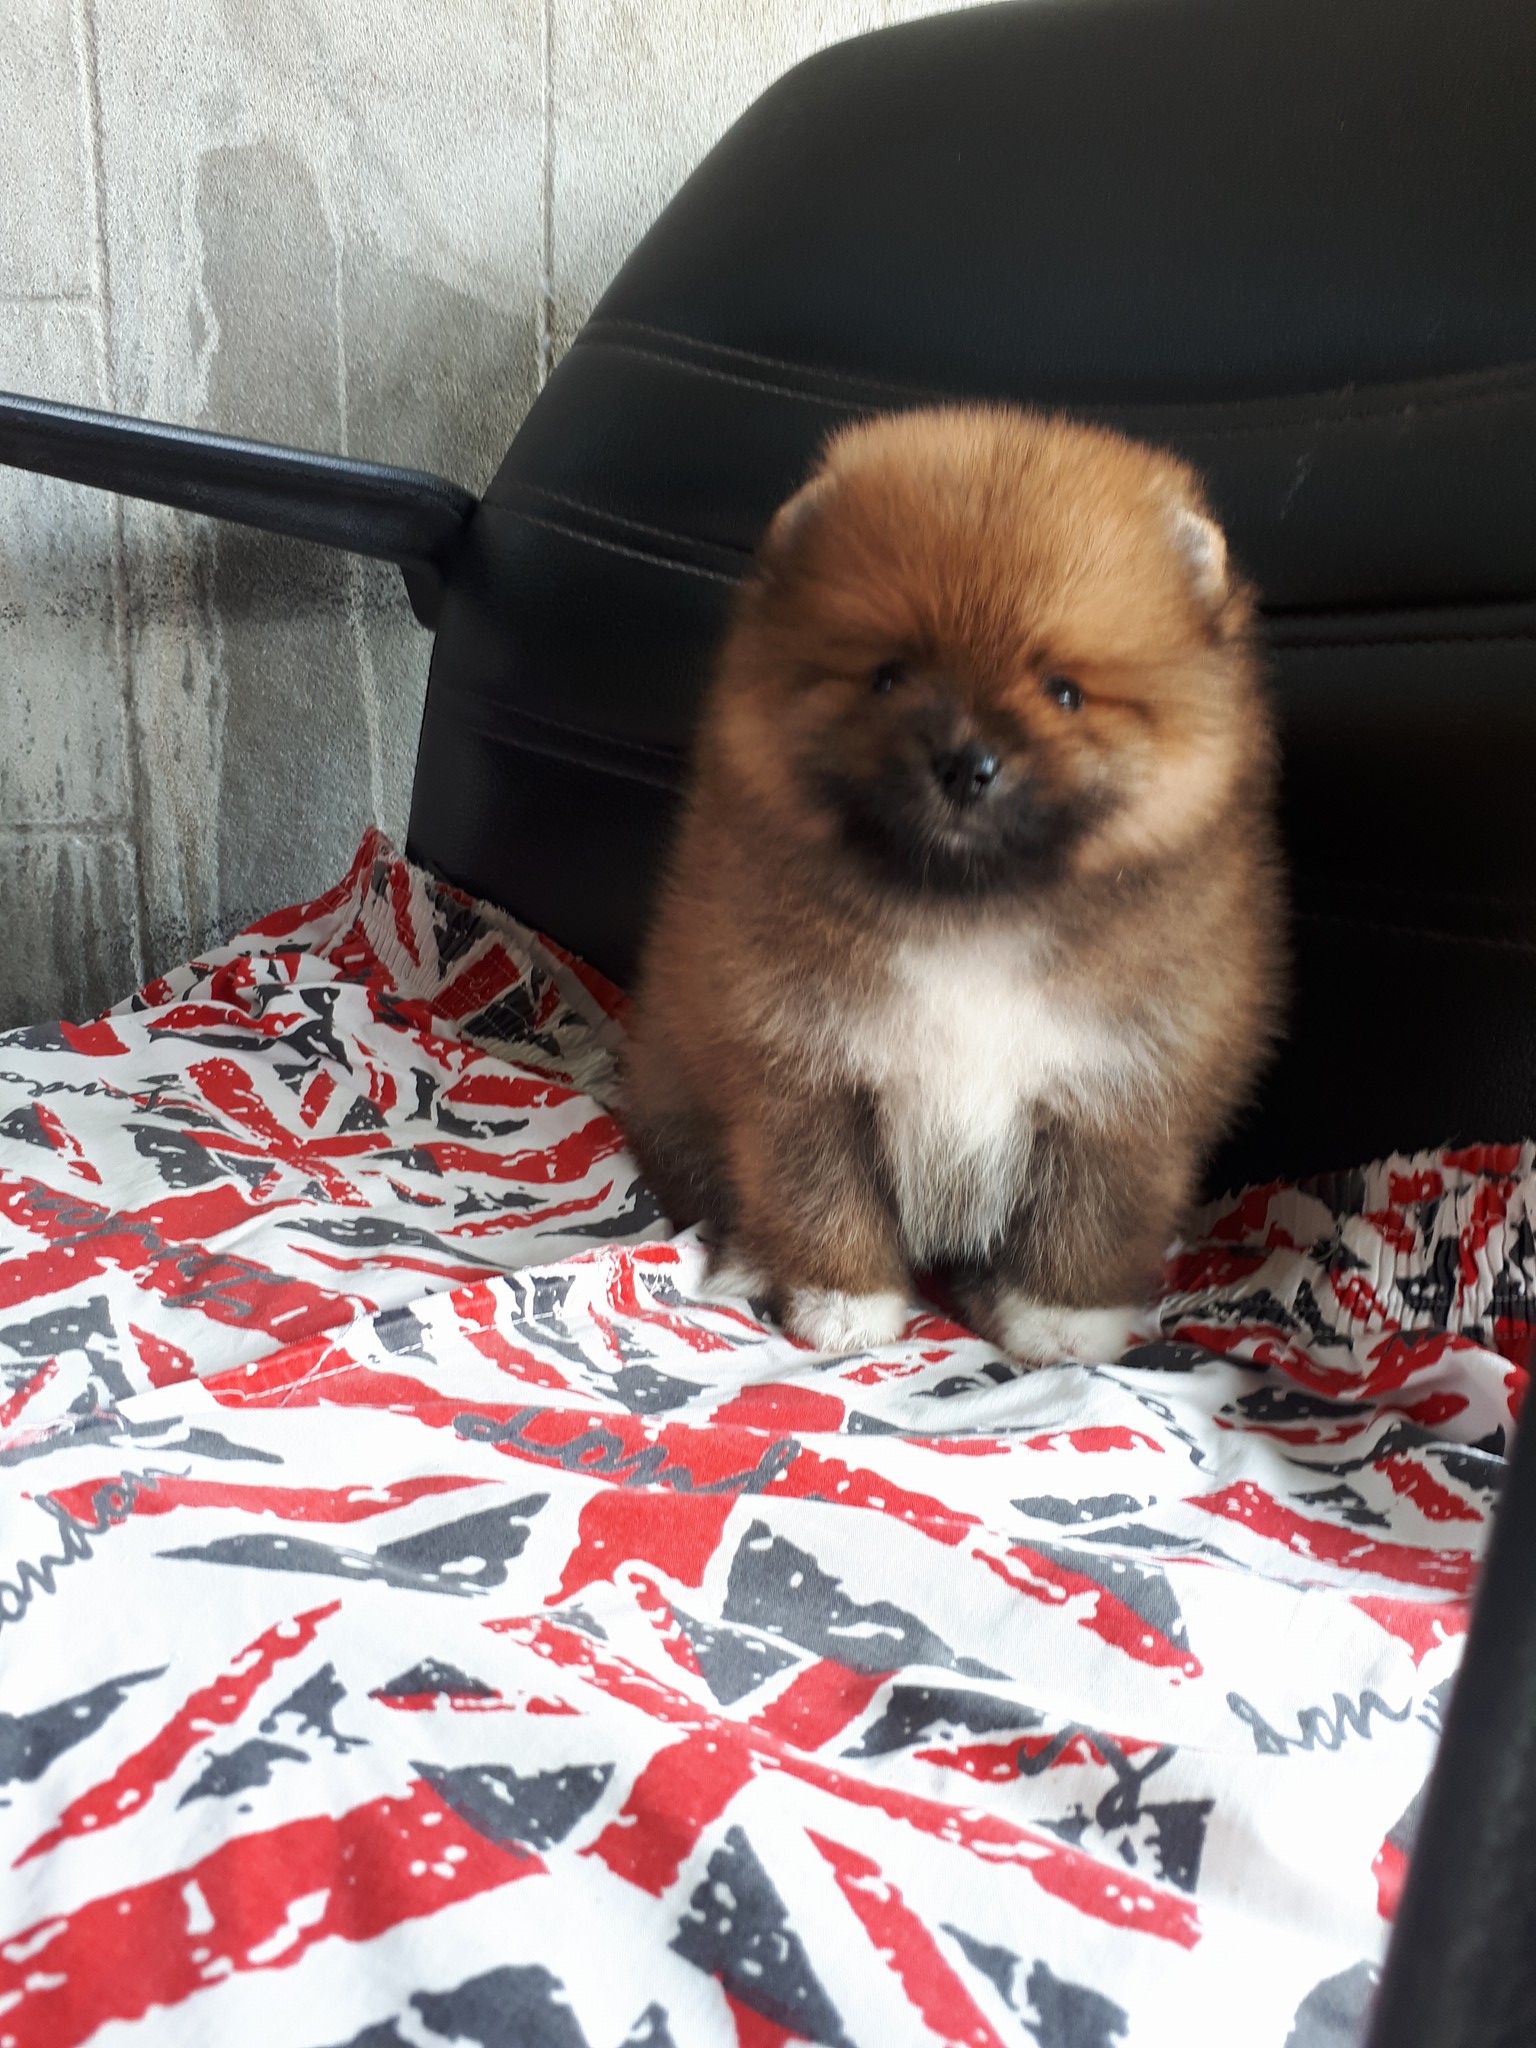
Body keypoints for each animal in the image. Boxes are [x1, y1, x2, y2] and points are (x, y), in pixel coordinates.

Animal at [622, 406, 1284, 1364]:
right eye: (888, 674)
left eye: (1064, 691)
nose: (966, 763)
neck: (970, 915)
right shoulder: (804, 1070)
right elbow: (822, 1198)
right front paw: (843, 1304)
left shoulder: (1121, 1091)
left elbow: (1088, 1220)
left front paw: (1061, 1322)